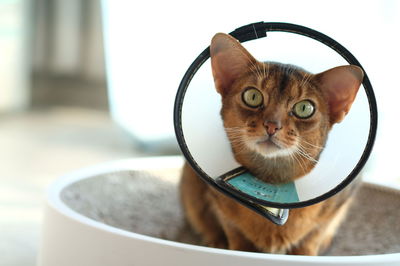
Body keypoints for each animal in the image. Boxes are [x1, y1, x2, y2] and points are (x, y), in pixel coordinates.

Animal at [180, 33, 364, 256]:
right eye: (252, 96)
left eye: (304, 108)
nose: (271, 125)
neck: (272, 179)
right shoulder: (219, 203)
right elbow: (235, 232)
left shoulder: (338, 204)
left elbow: (312, 238)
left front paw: (306, 255)